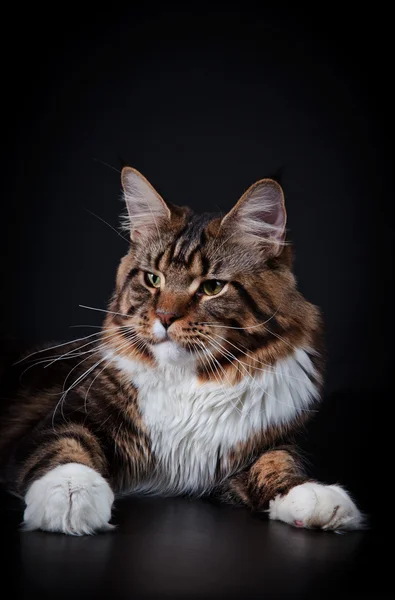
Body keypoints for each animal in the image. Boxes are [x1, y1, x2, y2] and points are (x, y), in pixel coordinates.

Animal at [0, 168, 364, 536]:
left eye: (212, 287)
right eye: (152, 279)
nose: (164, 317)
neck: (189, 382)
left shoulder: (252, 448)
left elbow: (278, 461)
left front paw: (311, 494)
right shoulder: (62, 418)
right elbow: (65, 445)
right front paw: (71, 495)